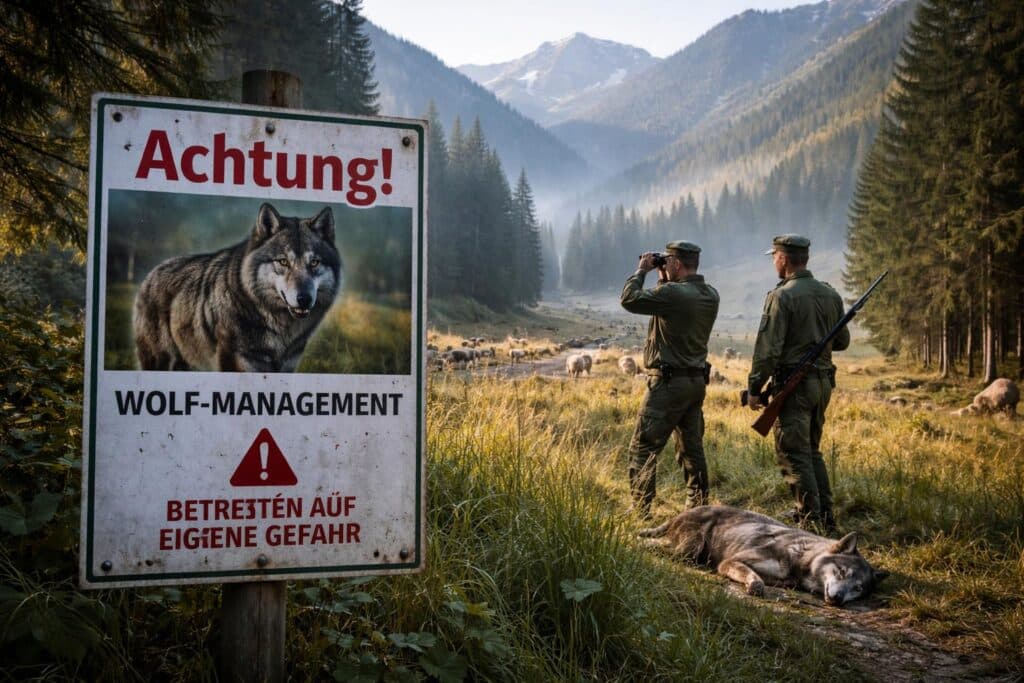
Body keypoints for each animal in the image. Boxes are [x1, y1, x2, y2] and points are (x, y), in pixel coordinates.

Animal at [638, 505, 888, 606]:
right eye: (842, 571)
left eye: (858, 588)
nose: (838, 599)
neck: (802, 559)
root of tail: (680, 513)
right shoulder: (731, 562)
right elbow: (755, 580)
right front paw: (754, 587)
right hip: (689, 550)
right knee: (655, 544)